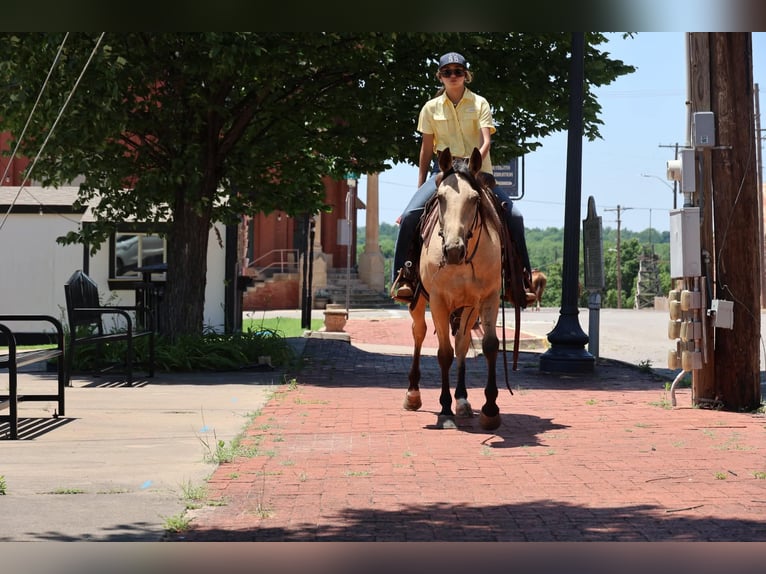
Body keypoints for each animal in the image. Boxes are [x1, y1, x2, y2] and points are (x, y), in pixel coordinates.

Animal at [404, 147, 507, 431]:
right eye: (440, 198)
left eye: (474, 199)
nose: (452, 250)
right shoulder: (438, 301)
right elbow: (443, 353)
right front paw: (445, 409)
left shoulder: (487, 298)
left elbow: (488, 345)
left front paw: (490, 409)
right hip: (419, 302)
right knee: (419, 333)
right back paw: (413, 394)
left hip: (467, 308)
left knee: (461, 343)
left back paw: (462, 401)